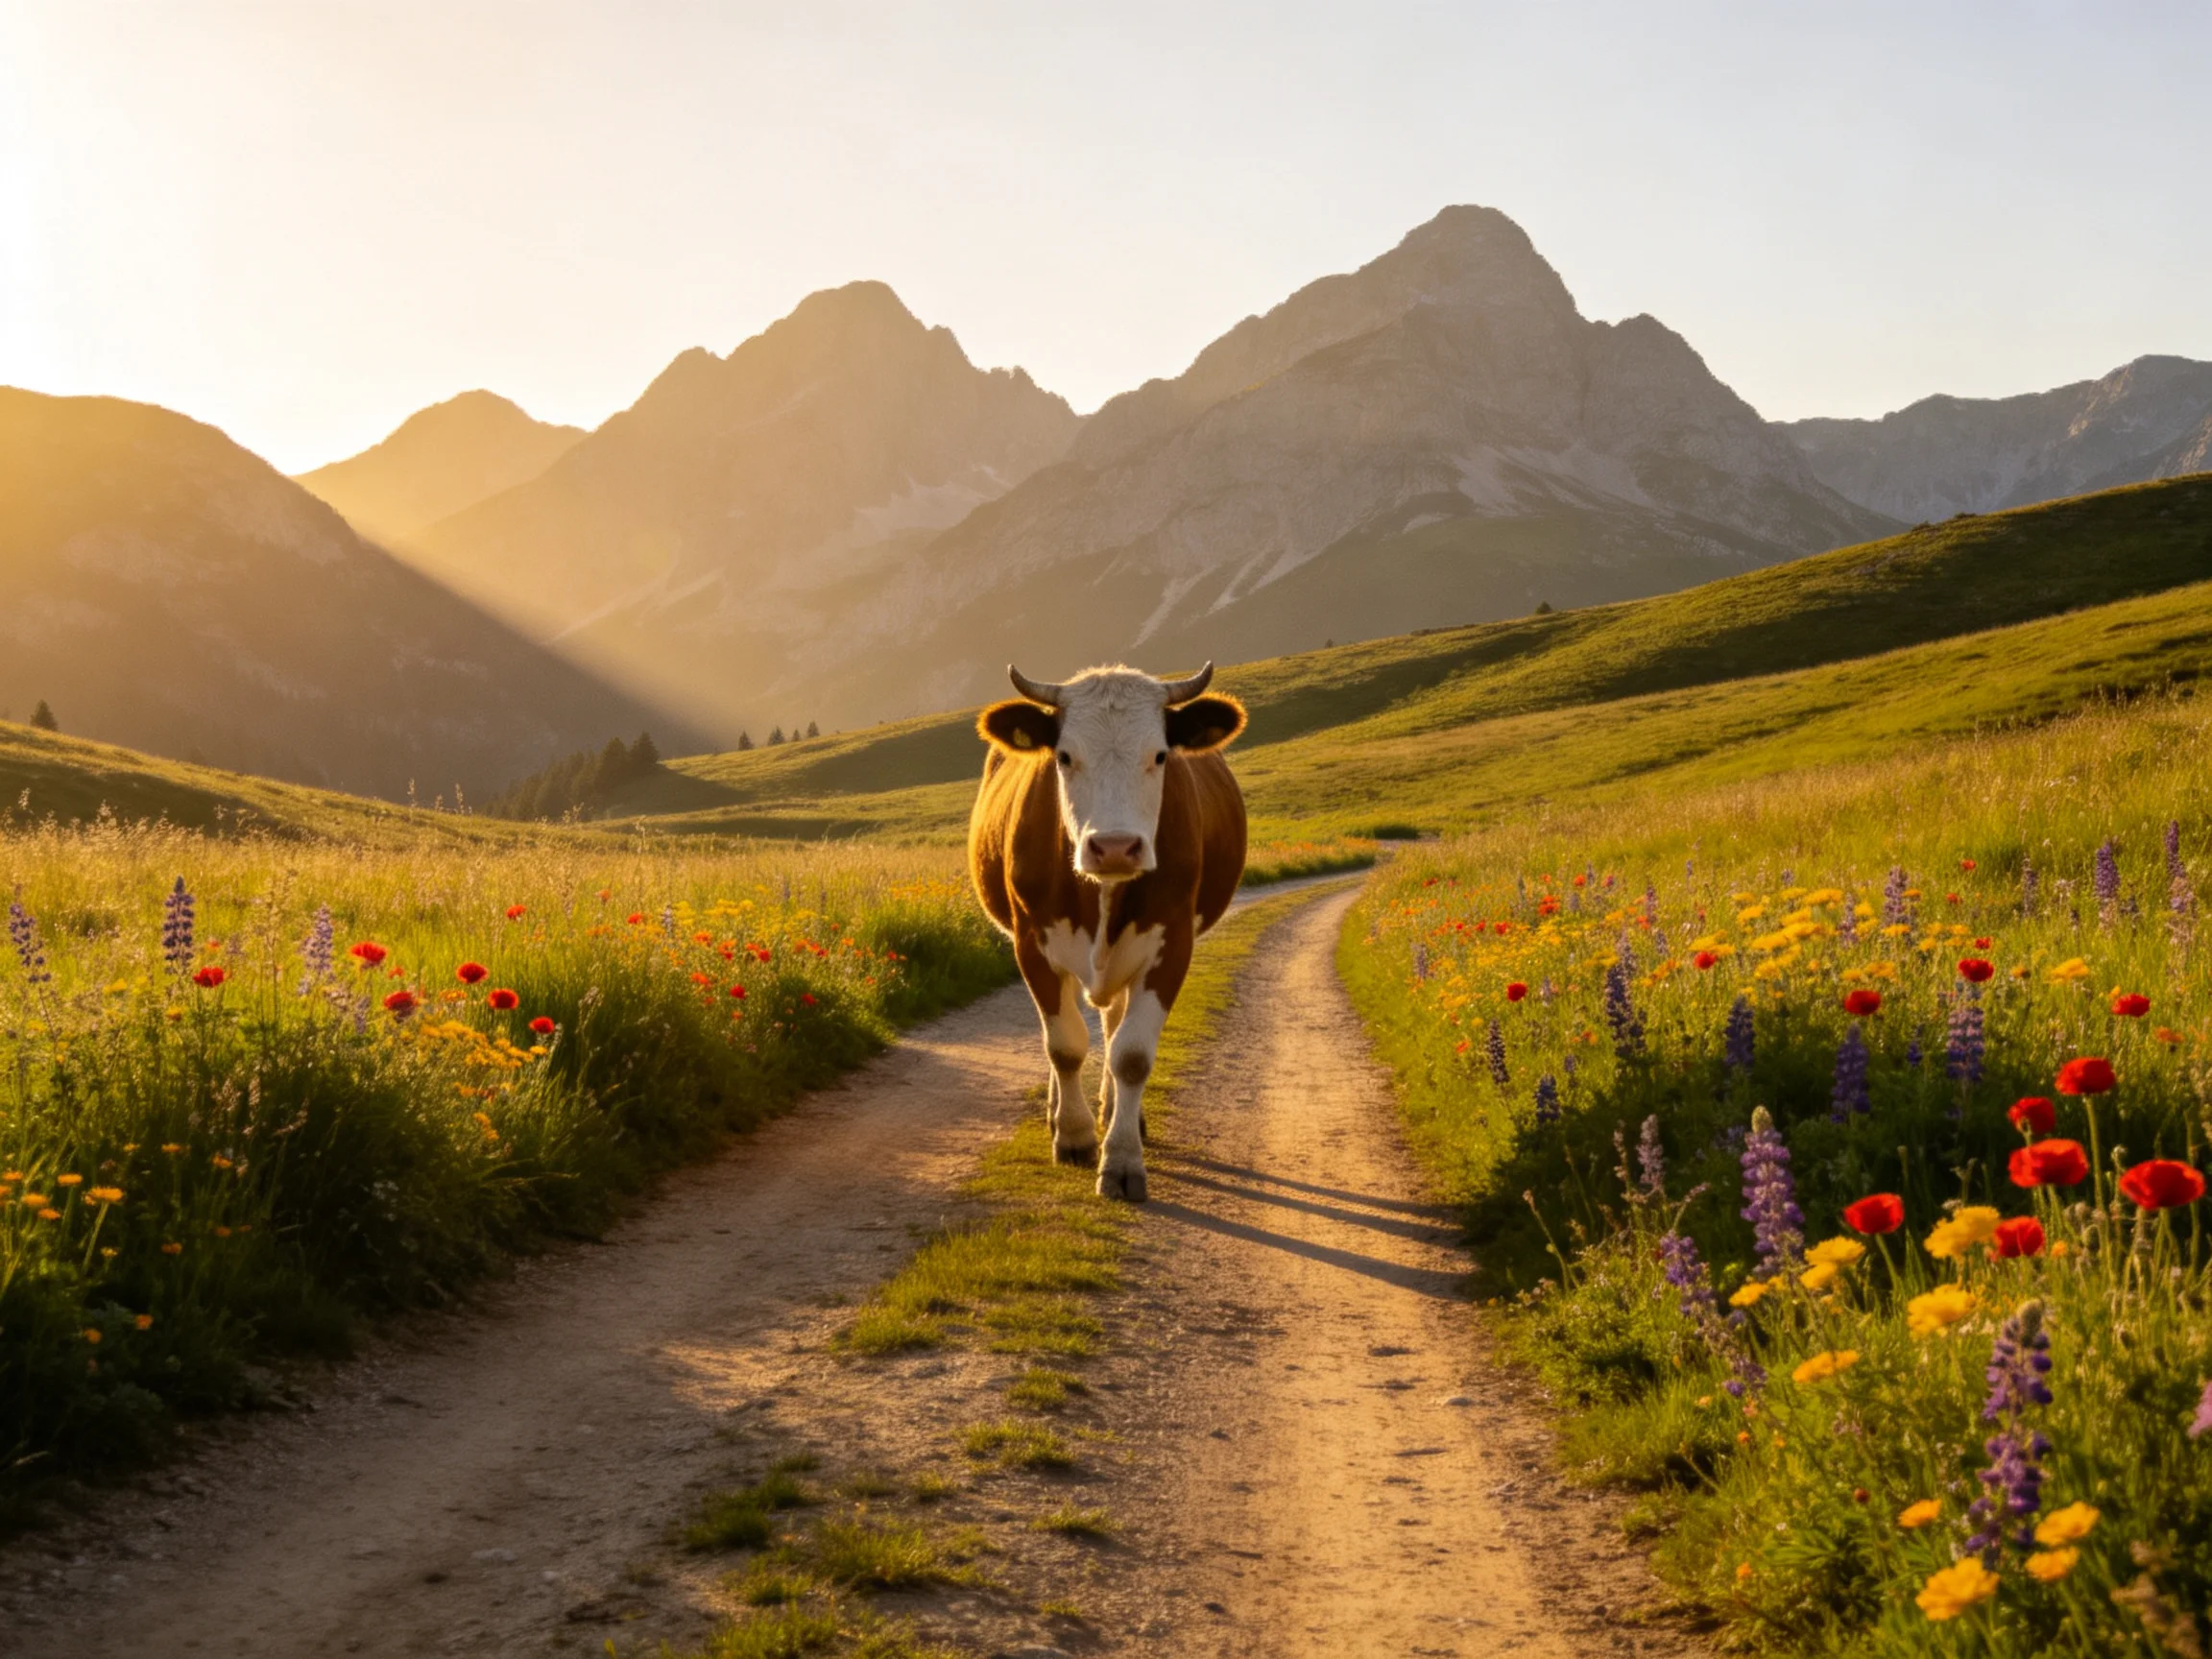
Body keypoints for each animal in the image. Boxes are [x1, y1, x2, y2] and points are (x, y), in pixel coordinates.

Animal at [969, 661, 1248, 1201]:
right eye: (1064, 756)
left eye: (1160, 755)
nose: (1116, 847)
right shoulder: (1031, 943)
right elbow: (1064, 1045)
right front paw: (1074, 1136)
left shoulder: (1171, 944)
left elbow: (1131, 1055)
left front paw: (1120, 1159)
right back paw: (1059, 1112)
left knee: (1113, 1023)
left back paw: (1119, 1112)